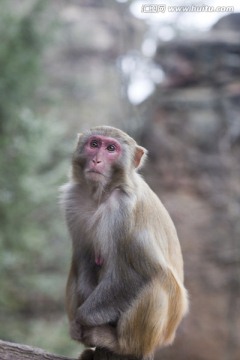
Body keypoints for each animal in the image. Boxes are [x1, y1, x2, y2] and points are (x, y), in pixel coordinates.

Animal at [59, 125, 188, 358]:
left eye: (111, 149)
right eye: (94, 144)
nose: (97, 160)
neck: (101, 195)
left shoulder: (123, 210)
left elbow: (140, 273)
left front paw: (83, 318)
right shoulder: (73, 200)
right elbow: (83, 257)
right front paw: (77, 324)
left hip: (160, 332)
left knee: (158, 281)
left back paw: (120, 344)